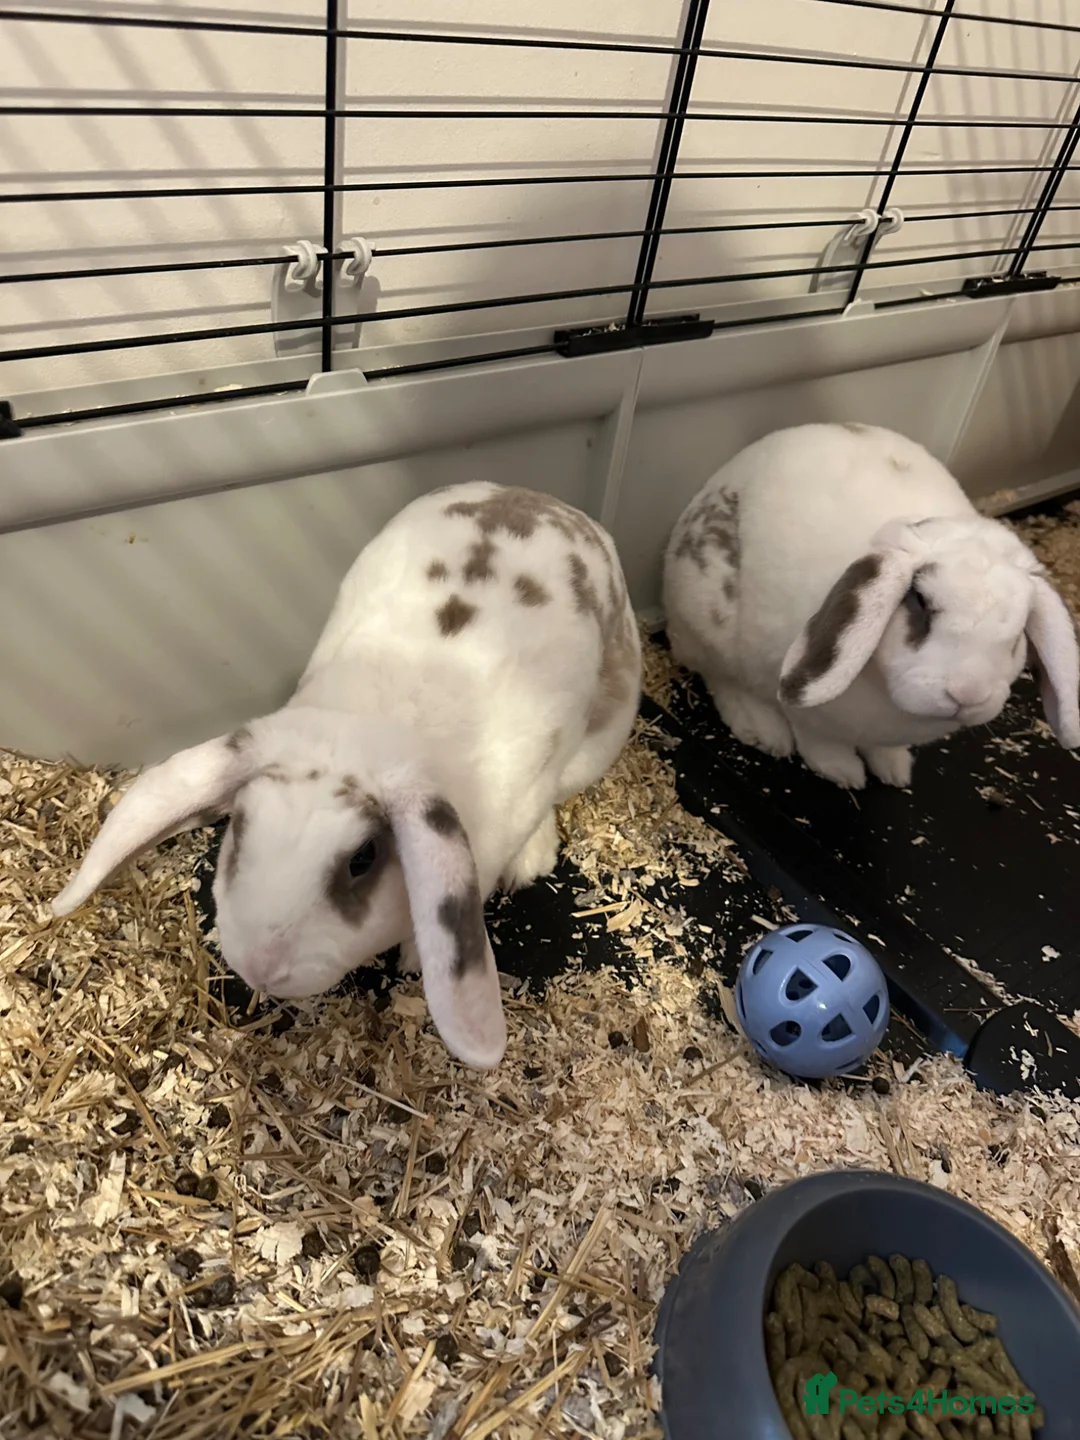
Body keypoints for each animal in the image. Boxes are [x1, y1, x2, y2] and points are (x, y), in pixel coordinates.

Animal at [50, 482, 643, 1070]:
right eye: (238, 826)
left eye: (363, 859)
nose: (261, 967)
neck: (379, 721)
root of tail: (540, 498)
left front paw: (413, 956)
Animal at [662, 422, 1080, 790]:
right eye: (921, 602)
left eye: (1018, 634)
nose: (967, 695)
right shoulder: (806, 710)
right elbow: (819, 742)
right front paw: (843, 773)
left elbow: (881, 749)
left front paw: (895, 770)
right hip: (708, 625)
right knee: (721, 679)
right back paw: (764, 732)